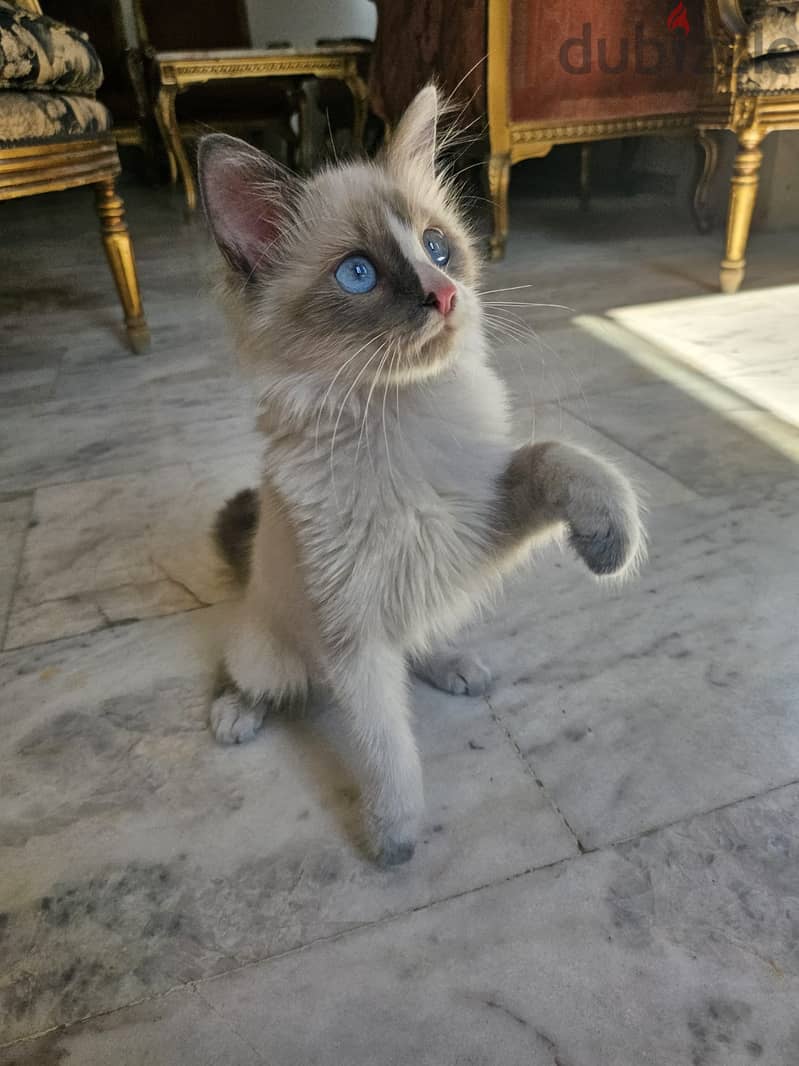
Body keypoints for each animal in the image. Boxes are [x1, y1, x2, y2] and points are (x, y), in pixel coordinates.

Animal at [199, 83, 643, 865]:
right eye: (358, 274)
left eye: (438, 248)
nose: (445, 295)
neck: (401, 417)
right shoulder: (353, 637)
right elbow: (386, 746)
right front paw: (394, 837)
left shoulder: (474, 529)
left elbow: (557, 454)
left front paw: (607, 541)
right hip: (273, 647)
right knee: (248, 673)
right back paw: (235, 715)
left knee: (420, 639)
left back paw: (455, 664)